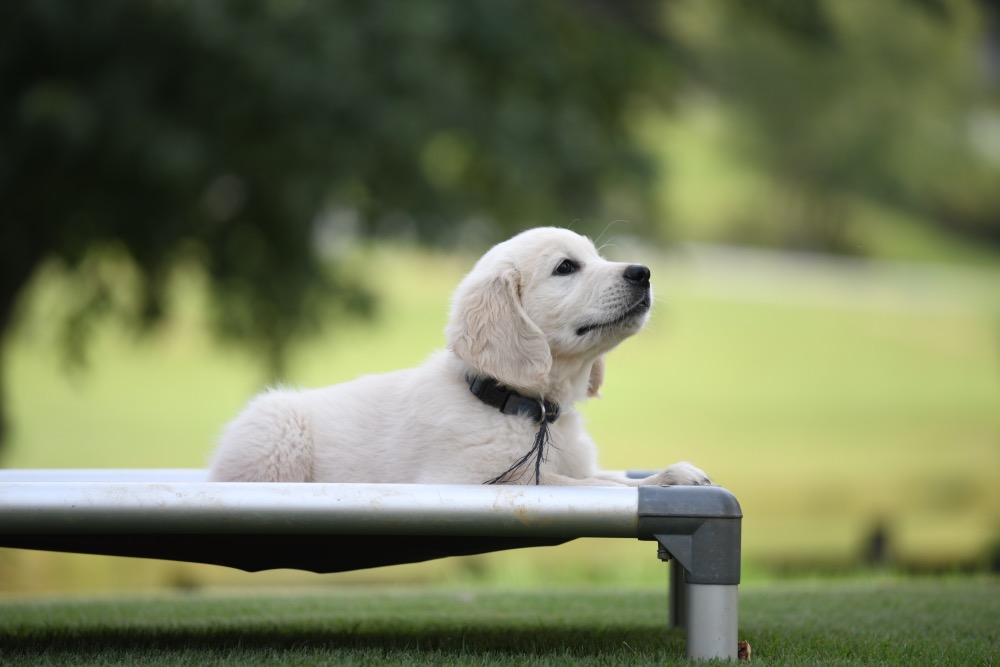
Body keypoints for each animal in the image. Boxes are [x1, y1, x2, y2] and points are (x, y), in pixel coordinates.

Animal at [209, 227, 712, 488]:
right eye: (566, 267)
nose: (643, 272)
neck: (530, 411)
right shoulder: (467, 481)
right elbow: (581, 483)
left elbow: (606, 479)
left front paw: (671, 474)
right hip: (277, 438)